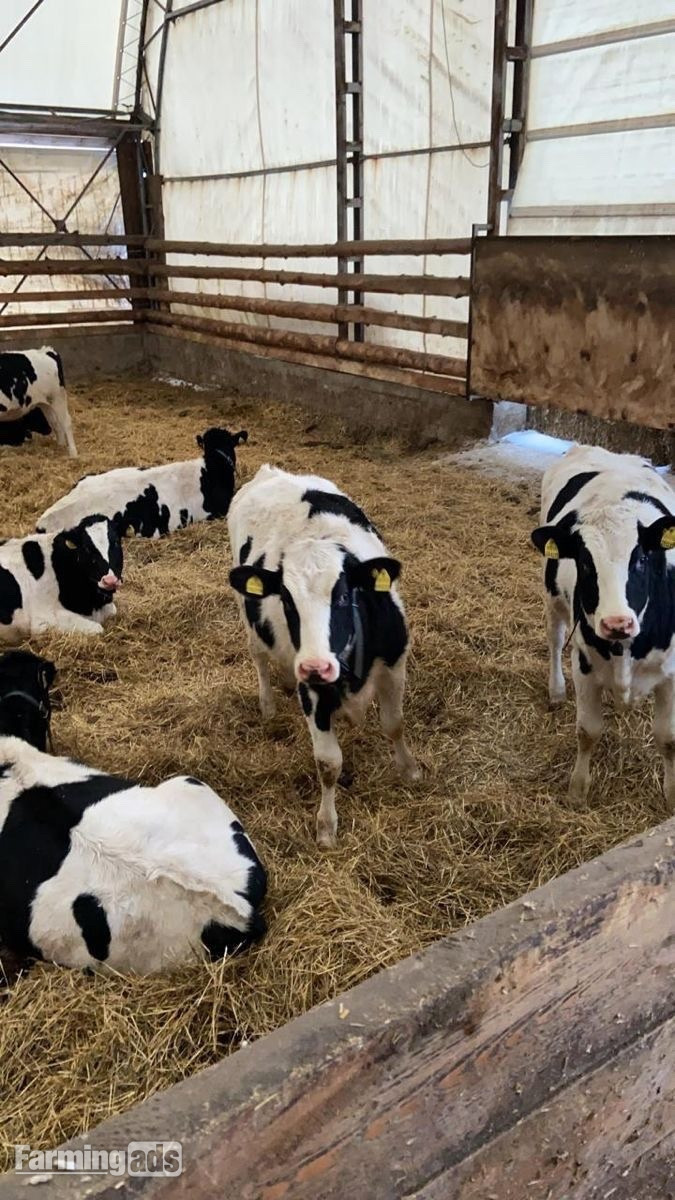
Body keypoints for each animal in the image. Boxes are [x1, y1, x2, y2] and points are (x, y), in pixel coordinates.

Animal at [228, 465, 419, 847]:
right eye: (286, 600)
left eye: (344, 595)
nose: (315, 666)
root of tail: (271, 472)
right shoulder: (314, 693)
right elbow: (329, 763)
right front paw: (327, 826)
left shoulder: (395, 666)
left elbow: (394, 724)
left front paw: (409, 770)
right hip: (249, 618)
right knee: (259, 658)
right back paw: (268, 703)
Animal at [531, 444, 675, 807]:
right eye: (584, 561)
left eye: (641, 559)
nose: (616, 623)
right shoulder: (584, 664)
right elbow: (588, 731)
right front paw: (578, 789)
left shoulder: (672, 673)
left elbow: (668, 738)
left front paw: (671, 795)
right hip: (552, 598)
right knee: (555, 641)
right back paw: (556, 690)